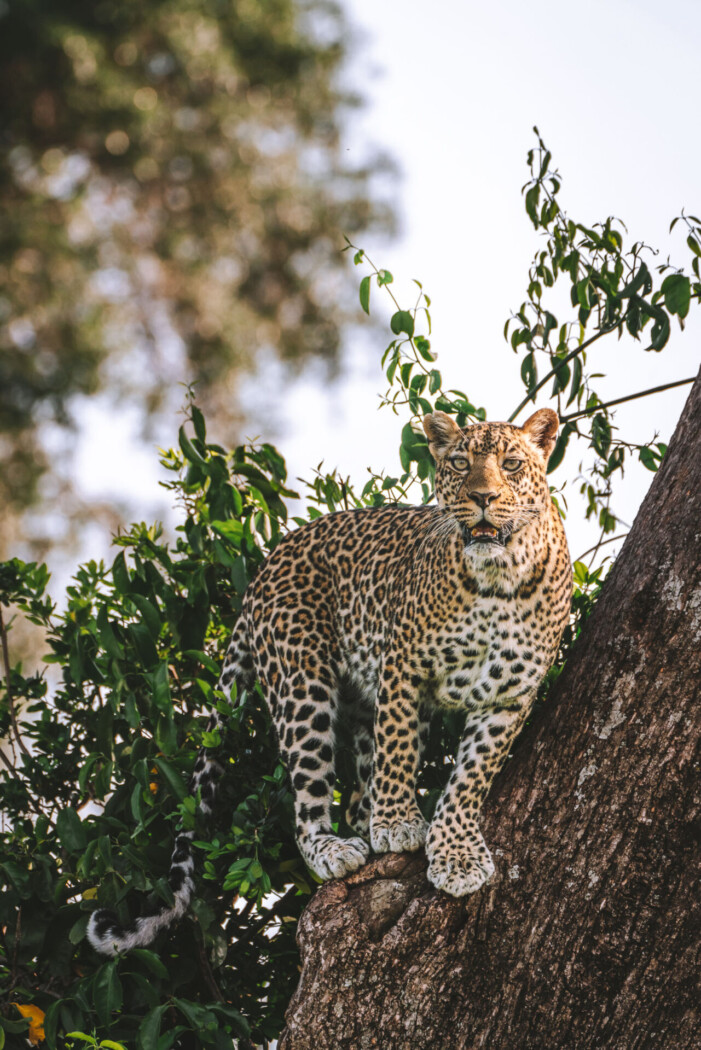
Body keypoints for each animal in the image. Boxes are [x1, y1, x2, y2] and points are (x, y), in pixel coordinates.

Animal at [87, 405, 570, 957]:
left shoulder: (511, 694)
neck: (498, 580)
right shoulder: (402, 664)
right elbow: (398, 750)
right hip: (301, 684)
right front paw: (398, 823)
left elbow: (472, 776)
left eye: (512, 464)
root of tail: (264, 566)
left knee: (360, 778)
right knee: (308, 796)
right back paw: (332, 848)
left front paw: (456, 854)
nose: (483, 498)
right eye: (459, 464)